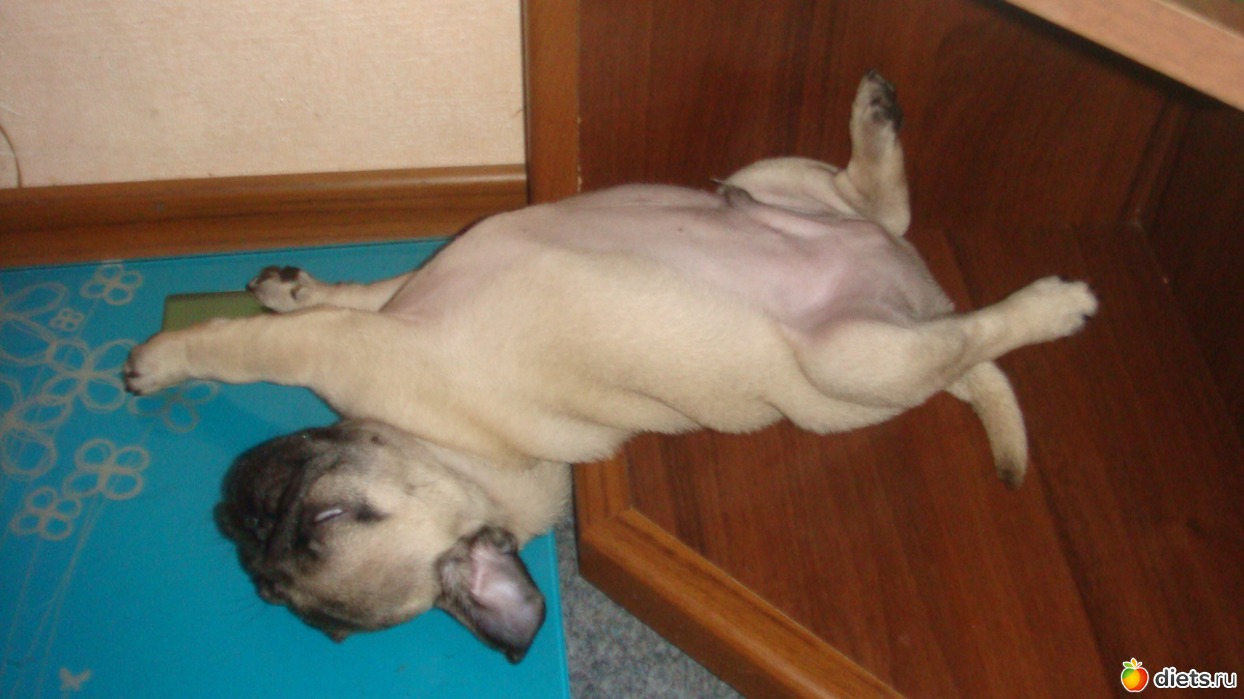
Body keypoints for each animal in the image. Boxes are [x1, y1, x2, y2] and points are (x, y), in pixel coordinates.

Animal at [123, 72, 1097, 662]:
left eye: (322, 518)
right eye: (261, 582)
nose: (241, 511)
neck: (446, 454)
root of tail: (921, 291)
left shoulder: (359, 336)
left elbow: (275, 333)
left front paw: (182, 350)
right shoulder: (394, 310)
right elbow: (359, 293)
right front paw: (286, 293)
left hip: (846, 323)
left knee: (952, 303)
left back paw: (1047, 302)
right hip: (808, 244)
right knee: (888, 224)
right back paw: (895, 148)